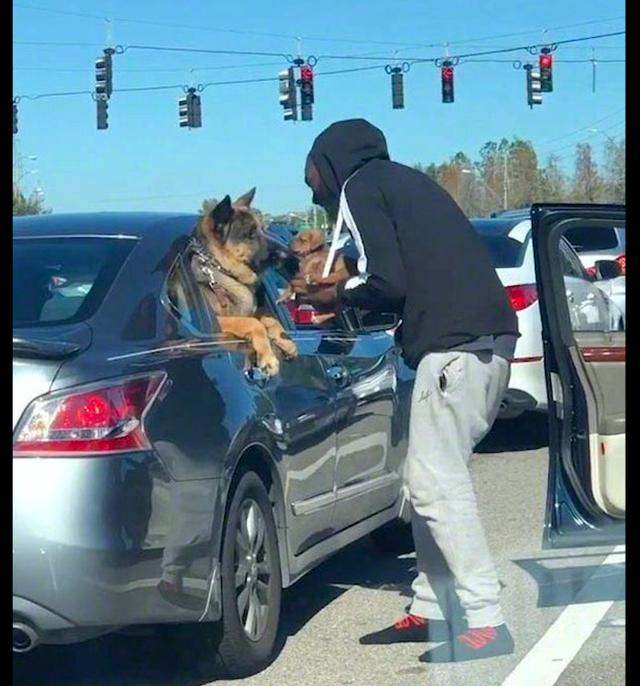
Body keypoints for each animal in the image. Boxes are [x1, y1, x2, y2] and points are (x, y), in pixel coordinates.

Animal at [191, 188, 298, 378]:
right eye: (250, 234)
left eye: (263, 230)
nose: (286, 255)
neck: (221, 270)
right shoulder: (220, 322)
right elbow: (253, 323)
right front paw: (268, 359)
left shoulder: (255, 311)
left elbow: (269, 318)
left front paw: (285, 341)